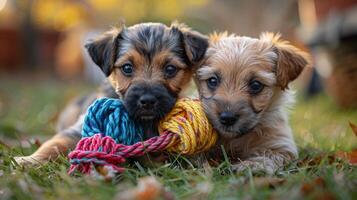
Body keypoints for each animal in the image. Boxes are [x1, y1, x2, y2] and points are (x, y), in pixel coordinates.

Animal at [14, 22, 209, 166]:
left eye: (170, 69)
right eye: (127, 68)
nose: (147, 101)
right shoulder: (76, 130)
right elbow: (54, 144)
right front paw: (29, 161)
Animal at [193, 32, 310, 173]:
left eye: (255, 85)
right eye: (212, 81)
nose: (227, 118)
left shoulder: (281, 145)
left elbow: (268, 156)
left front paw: (250, 165)